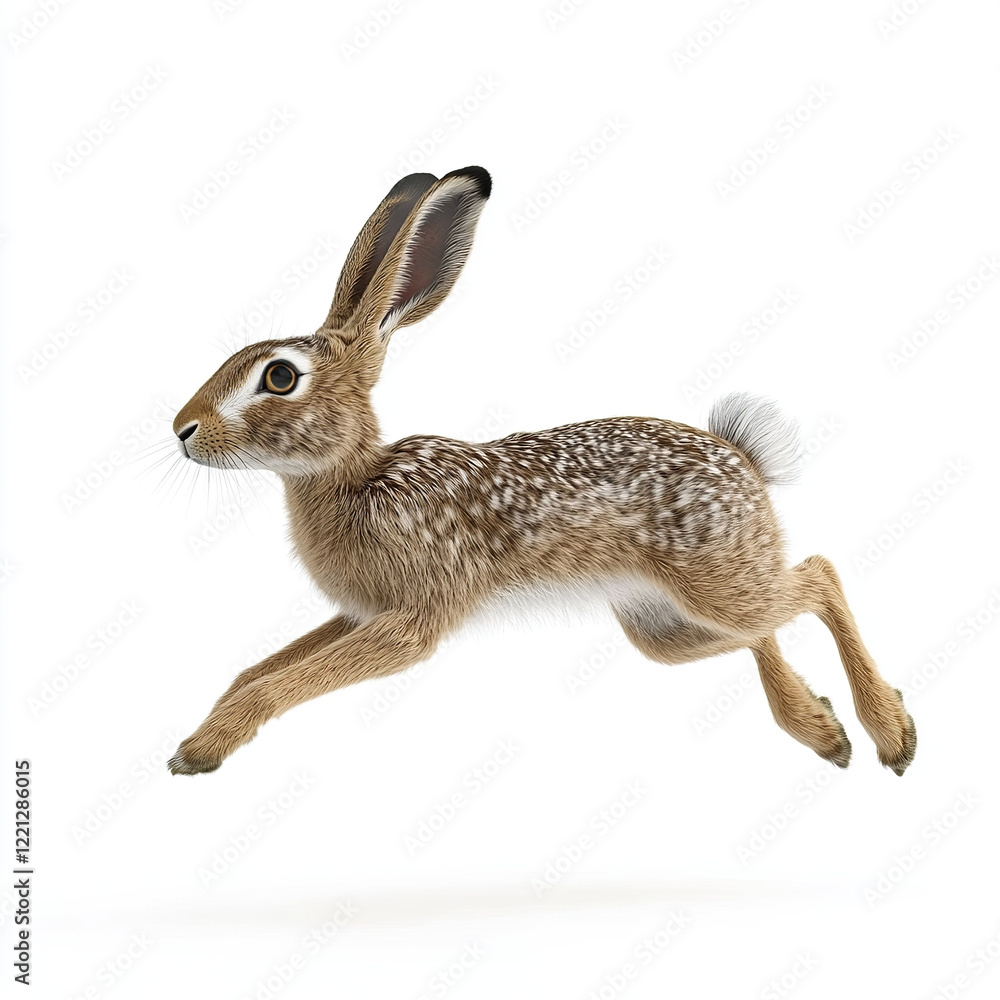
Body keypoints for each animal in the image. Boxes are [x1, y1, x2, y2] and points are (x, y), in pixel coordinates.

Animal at [167, 165, 916, 777]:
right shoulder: (359, 613)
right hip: (662, 626)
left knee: (817, 577)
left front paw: (200, 752)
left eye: (280, 377)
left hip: (719, 580)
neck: (355, 476)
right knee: (758, 628)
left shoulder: (409, 621)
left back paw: (889, 731)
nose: (182, 431)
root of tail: (746, 460)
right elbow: (254, 670)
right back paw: (821, 726)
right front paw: (197, 738)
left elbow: (277, 683)